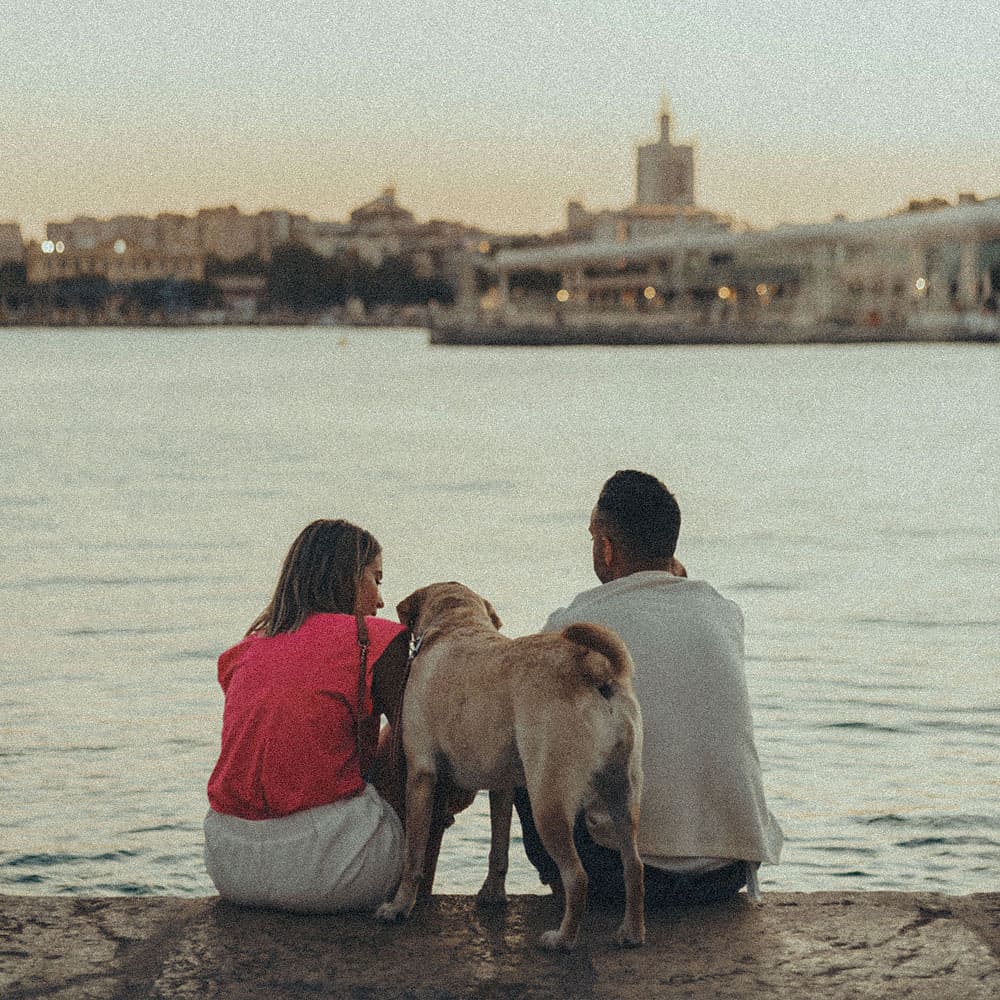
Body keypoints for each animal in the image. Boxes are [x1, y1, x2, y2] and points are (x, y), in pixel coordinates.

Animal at [372, 584, 644, 948]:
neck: (457, 623)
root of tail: (595, 671)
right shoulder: (502, 785)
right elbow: (499, 847)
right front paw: (493, 895)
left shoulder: (420, 775)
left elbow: (413, 854)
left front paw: (400, 906)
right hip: (623, 794)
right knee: (634, 865)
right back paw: (632, 931)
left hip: (547, 800)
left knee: (577, 877)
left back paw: (562, 939)